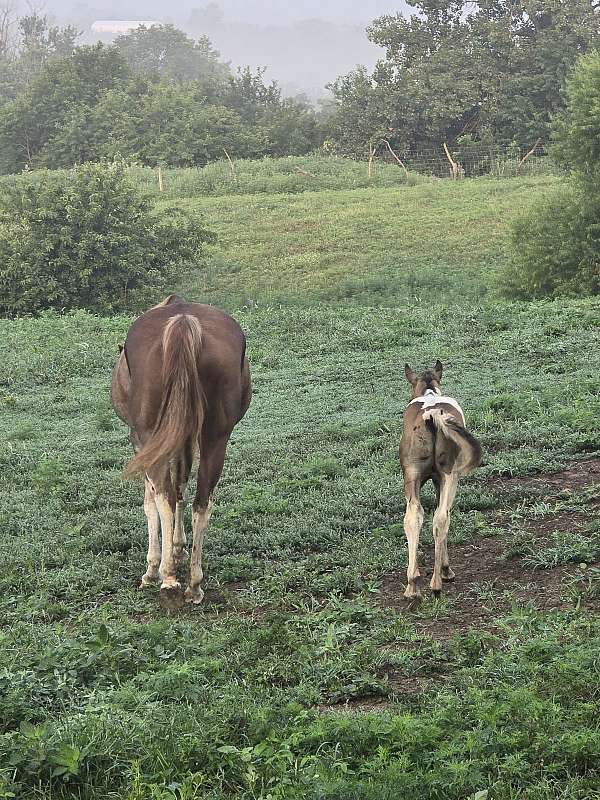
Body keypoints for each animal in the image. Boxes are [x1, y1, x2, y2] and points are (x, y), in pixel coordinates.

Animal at [111, 294, 251, 603]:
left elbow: (152, 502)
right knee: (201, 502)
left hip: (149, 434)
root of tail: (182, 321)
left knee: (162, 496)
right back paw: (194, 583)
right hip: (215, 438)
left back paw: (168, 578)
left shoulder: (142, 442)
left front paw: (153, 567)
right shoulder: (183, 439)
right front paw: (178, 547)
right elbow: (181, 490)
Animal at [399, 360, 482, 603]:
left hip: (412, 476)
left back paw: (412, 585)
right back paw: (437, 582)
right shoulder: (442, 480)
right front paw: (446, 569)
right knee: (441, 518)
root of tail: (431, 416)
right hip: (450, 476)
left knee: (413, 516)